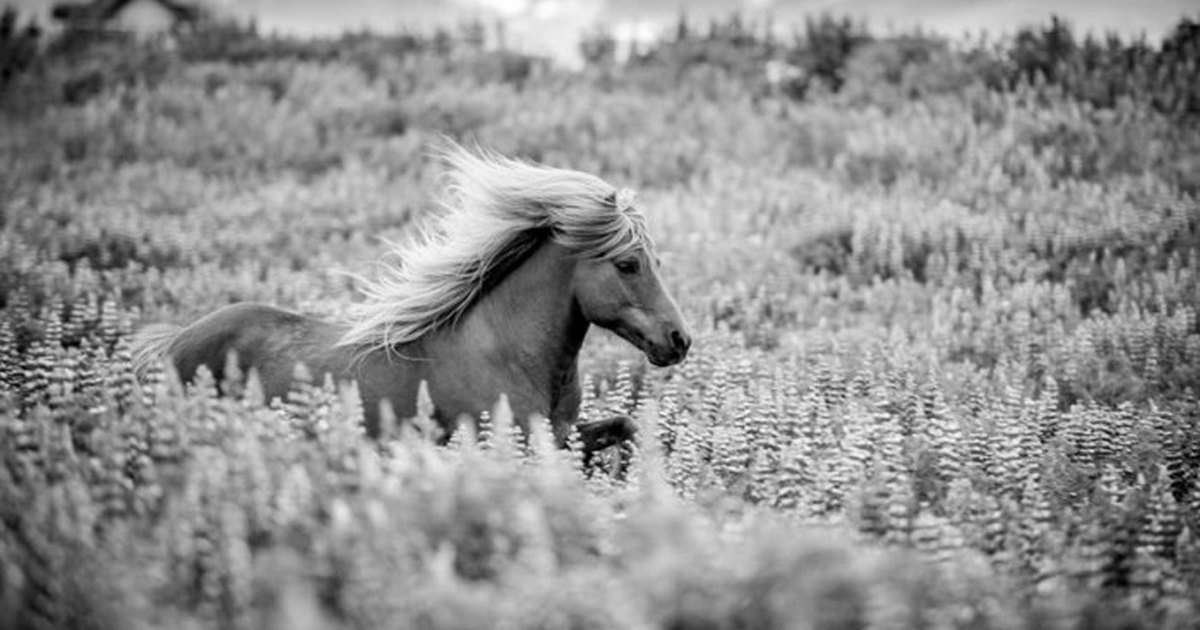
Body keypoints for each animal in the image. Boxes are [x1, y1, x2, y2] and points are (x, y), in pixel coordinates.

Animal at [129, 143, 696, 460]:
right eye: (628, 265)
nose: (679, 339)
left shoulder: (561, 433)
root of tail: (175, 341)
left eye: (658, 261)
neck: (512, 355)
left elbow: (624, 428)